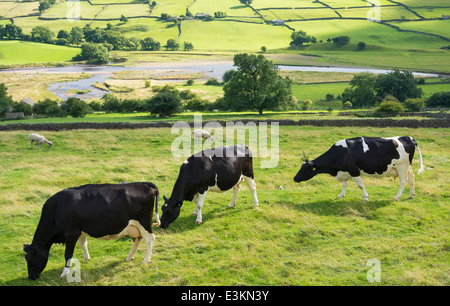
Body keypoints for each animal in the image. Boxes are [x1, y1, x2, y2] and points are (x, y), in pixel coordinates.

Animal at [23, 182, 160, 280]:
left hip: (144, 223)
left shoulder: (71, 233)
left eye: (30, 259)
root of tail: (145, 184)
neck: (57, 208)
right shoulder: (79, 231)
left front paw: (64, 273)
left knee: (150, 239)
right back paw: (129, 257)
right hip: (134, 226)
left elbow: (68, 254)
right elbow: (83, 244)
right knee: (137, 239)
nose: (31, 278)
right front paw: (86, 259)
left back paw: (145, 260)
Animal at [294, 136, 424, 201]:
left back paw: (397, 197)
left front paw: (366, 197)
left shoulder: (353, 170)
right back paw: (411, 195)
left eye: (305, 169)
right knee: (411, 178)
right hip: (407, 166)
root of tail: (408, 137)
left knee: (403, 181)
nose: (295, 178)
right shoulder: (345, 171)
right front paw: (341, 195)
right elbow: (344, 184)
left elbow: (360, 185)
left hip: (401, 166)